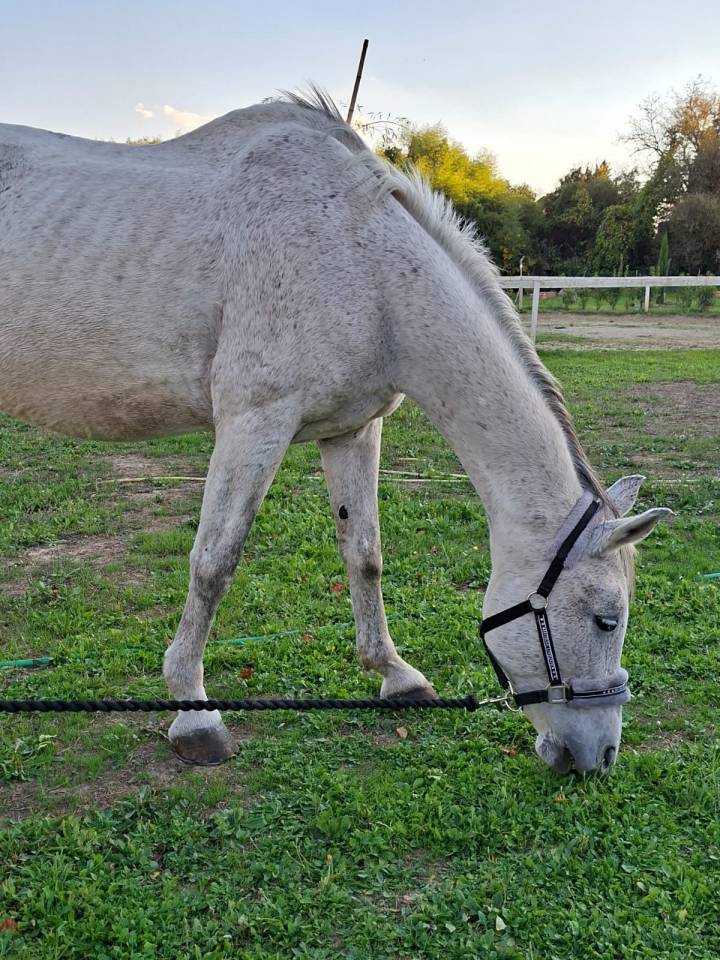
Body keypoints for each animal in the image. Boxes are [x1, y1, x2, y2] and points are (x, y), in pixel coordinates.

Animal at [0, 90, 671, 773]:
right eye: (606, 619)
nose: (599, 756)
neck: (362, 264)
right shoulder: (253, 422)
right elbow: (214, 563)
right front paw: (194, 712)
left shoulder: (354, 430)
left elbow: (364, 554)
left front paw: (397, 676)